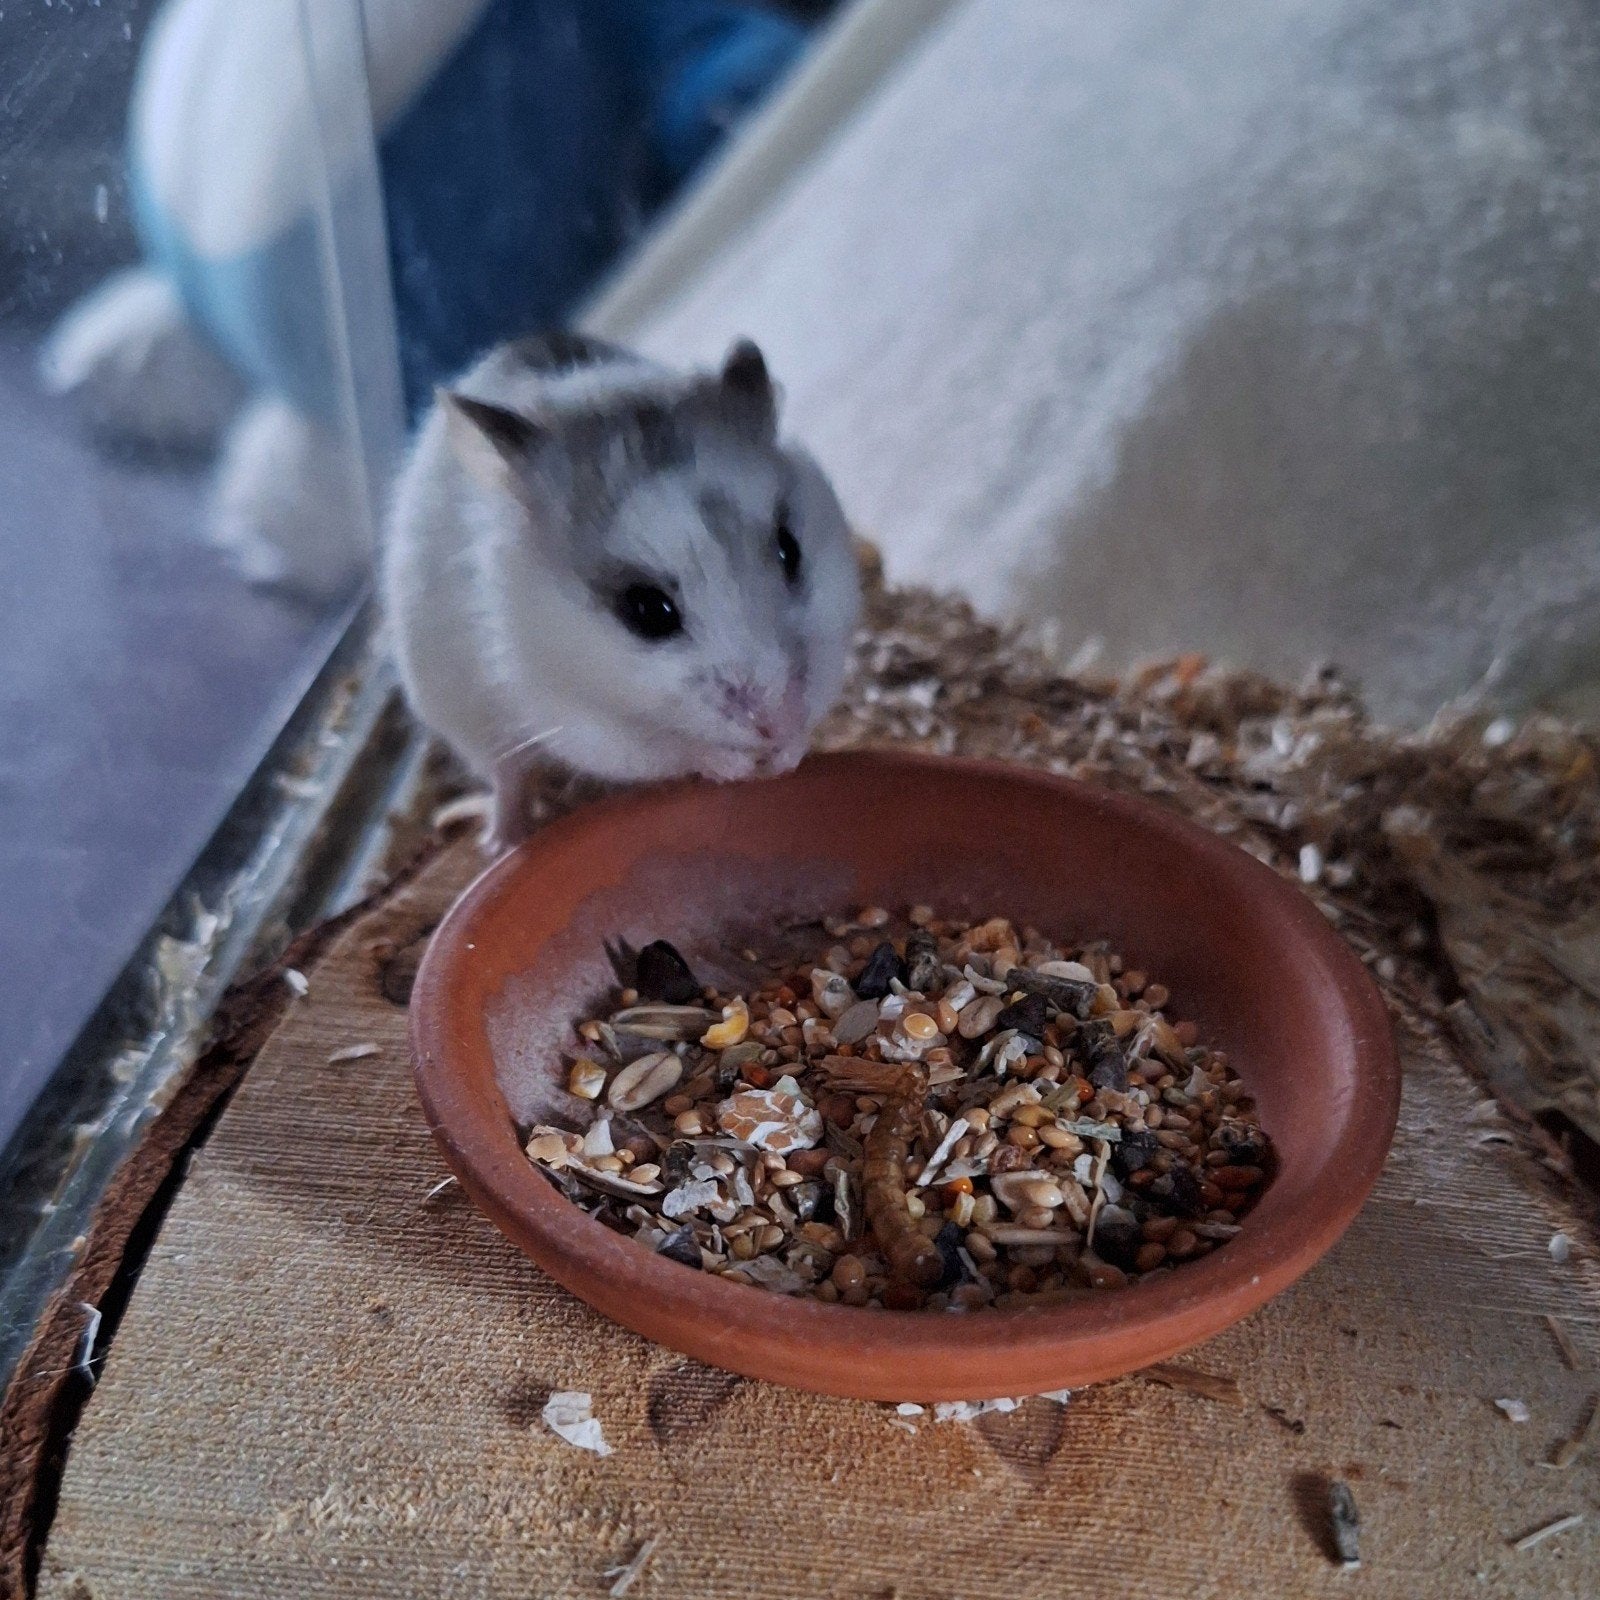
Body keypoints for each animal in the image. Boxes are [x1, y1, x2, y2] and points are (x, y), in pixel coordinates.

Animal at [381, 333, 861, 844]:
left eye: (790, 550)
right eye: (646, 610)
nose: (776, 723)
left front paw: (788, 754)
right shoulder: (584, 722)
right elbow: (675, 749)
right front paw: (736, 766)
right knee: (506, 779)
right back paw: (498, 838)